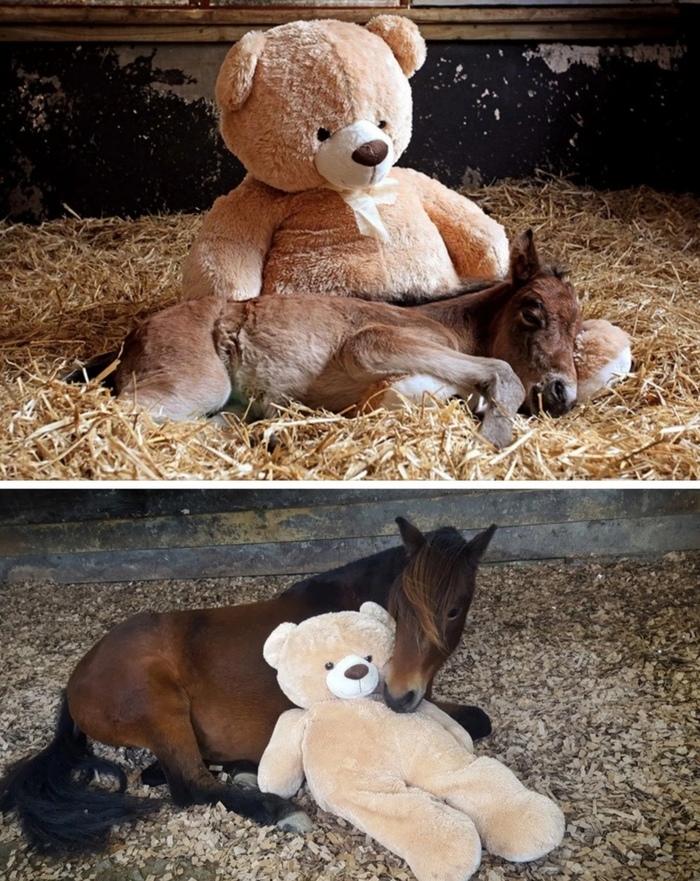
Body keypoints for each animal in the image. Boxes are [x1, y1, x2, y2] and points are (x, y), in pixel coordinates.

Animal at [0, 516, 494, 852]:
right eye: (401, 606)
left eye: (453, 610)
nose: (398, 695)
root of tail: (76, 679)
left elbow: (480, 719)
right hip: (159, 705)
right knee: (190, 786)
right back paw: (278, 809)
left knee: (164, 772)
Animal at [71, 230, 616, 446]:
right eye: (532, 311)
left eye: (577, 329)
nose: (563, 394)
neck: (448, 325)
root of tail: (133, 336)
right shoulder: (373, 343)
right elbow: (502, 374)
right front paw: (495, 435)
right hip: (195, 384)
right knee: (128, 414)